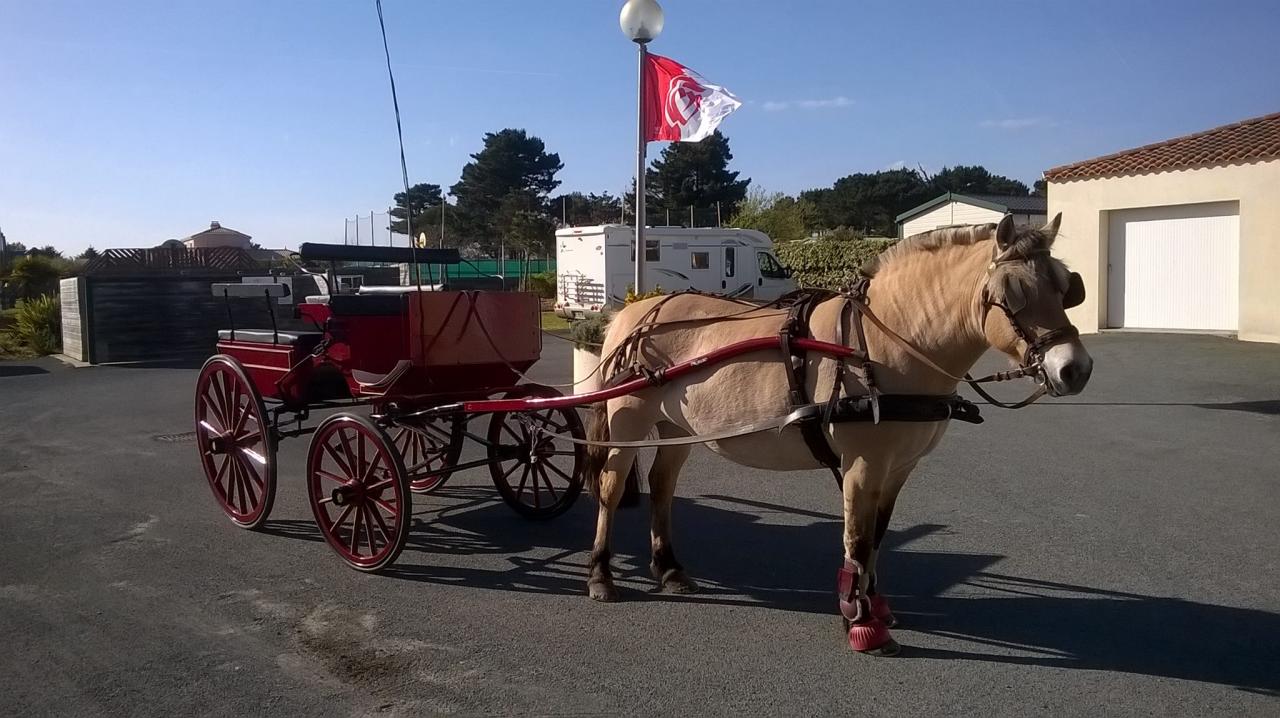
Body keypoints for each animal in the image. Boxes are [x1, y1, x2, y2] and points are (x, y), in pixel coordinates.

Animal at [581, 212, 1090, 655]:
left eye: (1067, 286)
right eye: (1014, 290)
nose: (1075, 369)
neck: (886, 341)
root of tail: (637, 310)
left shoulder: (899, 467)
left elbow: (879, 535)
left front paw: (876, 606)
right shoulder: (862, 464)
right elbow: (858, 539)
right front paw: (862, 622)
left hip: (675, 426)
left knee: (662, 486)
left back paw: (669, 569)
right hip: (628, 420)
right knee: (610, 487)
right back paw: (601, 574)